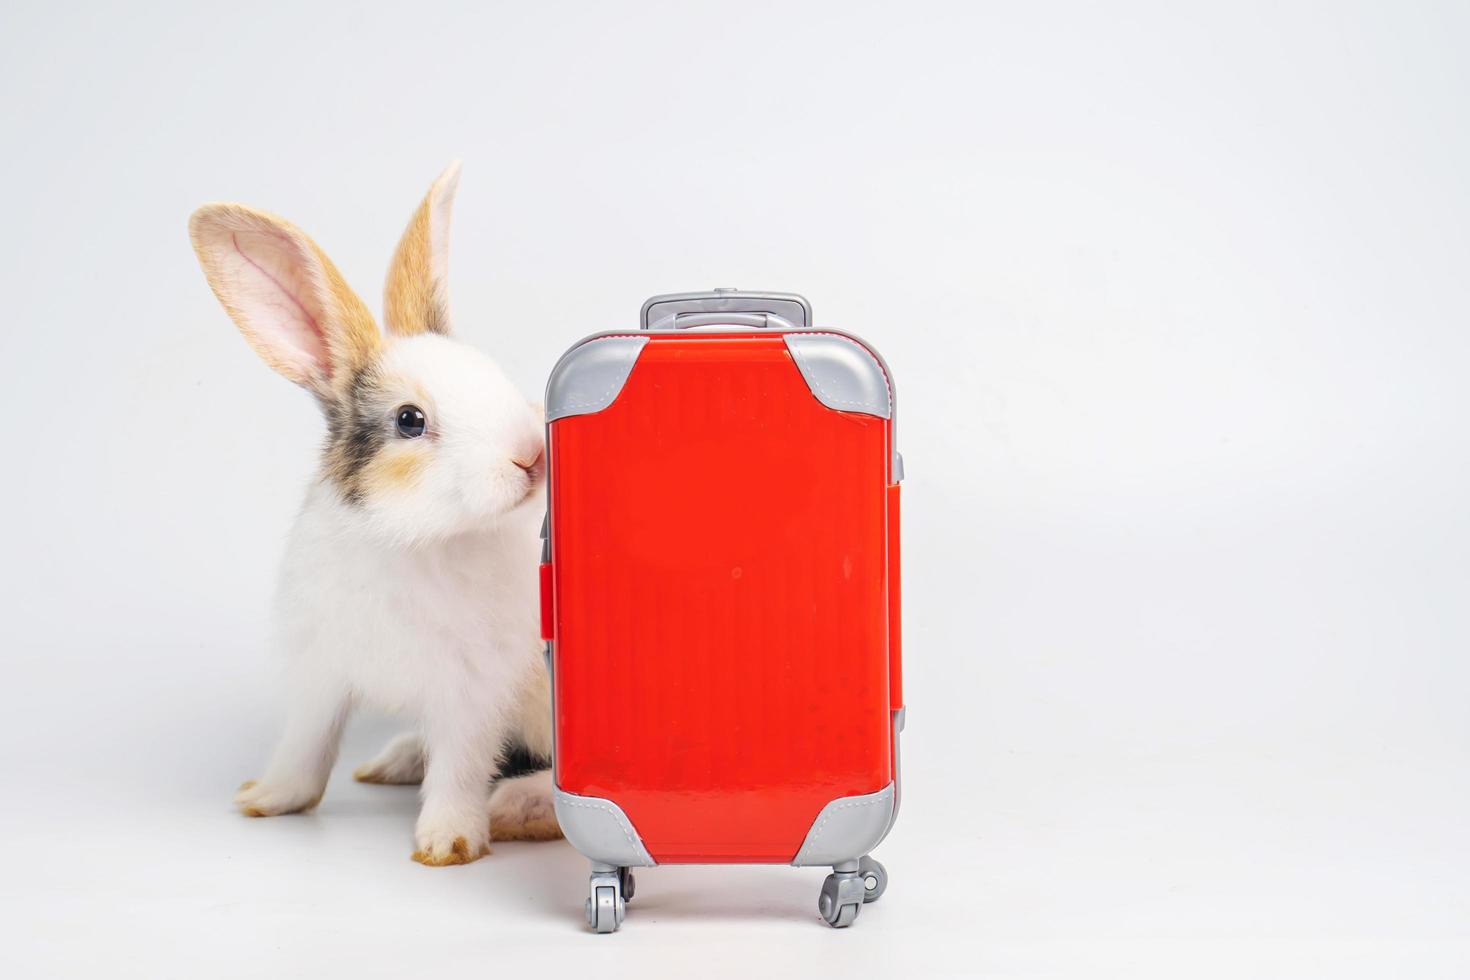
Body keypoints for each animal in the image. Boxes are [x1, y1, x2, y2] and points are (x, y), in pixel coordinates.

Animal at [192, 160, 558, 863]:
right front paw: (264, 799)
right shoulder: (320, 674)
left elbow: (459, 768)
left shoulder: (470, 693)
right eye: (409, 420)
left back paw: (518, 808)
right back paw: (395, 762)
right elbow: (305, 749)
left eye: (494, 375)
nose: (531, 455)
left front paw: (447, 843)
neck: (411, 538)